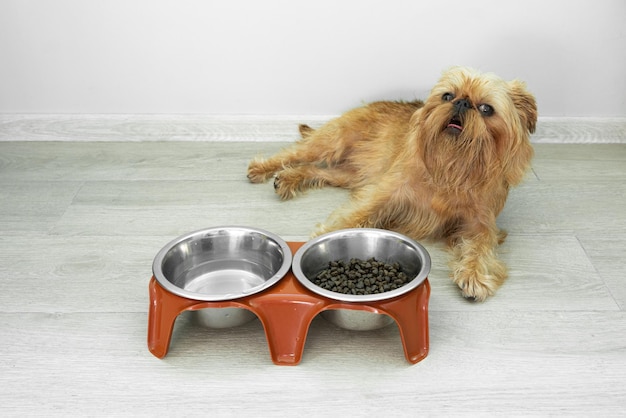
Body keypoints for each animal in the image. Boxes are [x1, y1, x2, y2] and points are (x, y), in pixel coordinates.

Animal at [246, 67, 532, 298]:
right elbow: (358, 214)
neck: (453, 166)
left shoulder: (480, 224)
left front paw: (474, 274)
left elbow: (481, 248)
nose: (462, 102)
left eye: (486, 109)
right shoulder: (385, 192)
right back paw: (263, 168)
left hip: (346, 175)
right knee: (295, 153)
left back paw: (288, 178)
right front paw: (329, 234)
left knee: (315, 170)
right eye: (447, 96)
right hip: (332, 141)